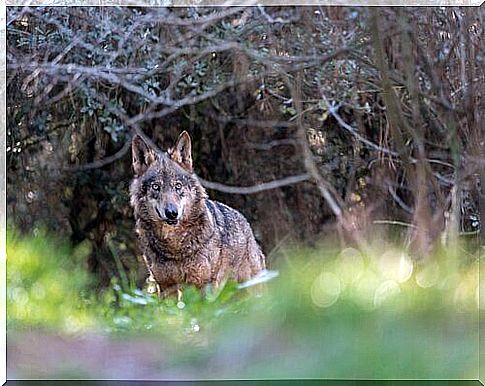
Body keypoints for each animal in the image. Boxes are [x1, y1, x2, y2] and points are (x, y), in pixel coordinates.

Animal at [129, 131, 264, 298]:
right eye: (156, 187)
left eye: (178, 186)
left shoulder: (203, 285)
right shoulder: (166, 287)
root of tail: (248, 228)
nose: (172, 213)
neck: (174, 247)